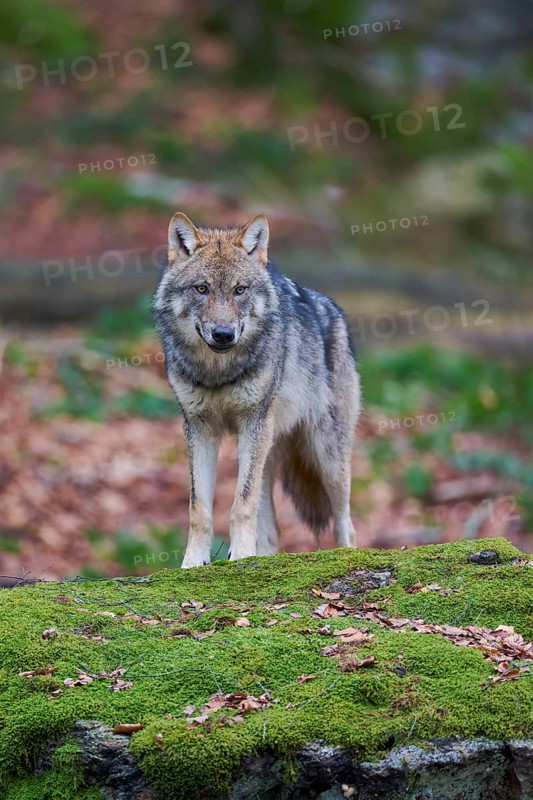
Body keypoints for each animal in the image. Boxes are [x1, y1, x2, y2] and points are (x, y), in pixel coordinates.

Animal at [153, 212, 361, 568]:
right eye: (202, 289)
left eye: (239, 290)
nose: (223, 334)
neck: (218, 373)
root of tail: (333, 310)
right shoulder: (199, 427)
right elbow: (199, 508)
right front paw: (193, 563)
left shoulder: (253, 421)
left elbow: (241, 504)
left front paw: (239, 559)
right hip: (264, 452)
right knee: (273, 530)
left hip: (325, 456)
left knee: (345, 521)